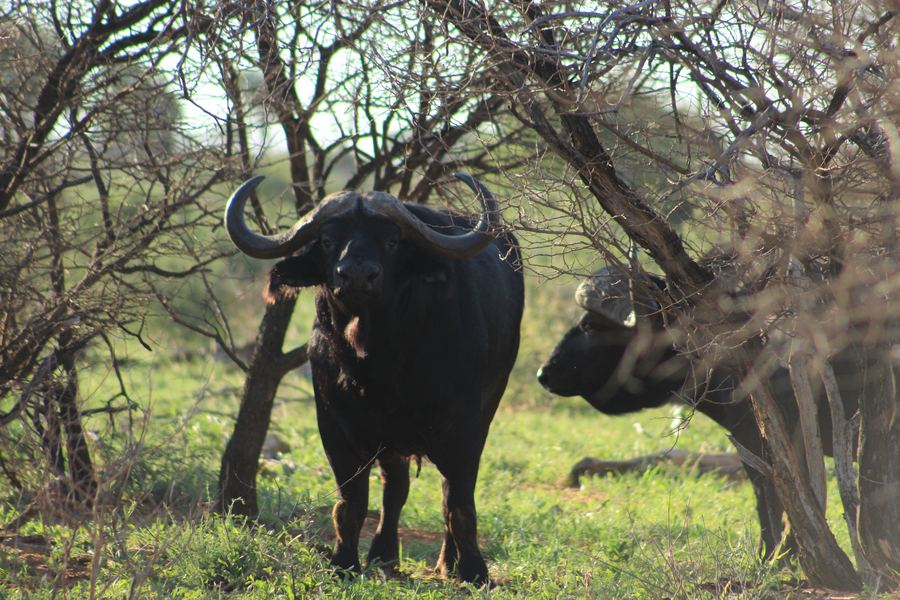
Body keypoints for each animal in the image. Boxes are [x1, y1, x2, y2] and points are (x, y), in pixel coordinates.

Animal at [225, 174, 524, 584]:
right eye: (328, 240)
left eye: (391, 240)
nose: (356, 276)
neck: (378, 363)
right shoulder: (335, 427)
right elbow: (352, 502)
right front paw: (344, 562)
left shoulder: (464, 428)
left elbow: (460, 503)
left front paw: (475, 571)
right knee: (395, 488)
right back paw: (384, 555)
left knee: (446, 491)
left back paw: (447, 561)